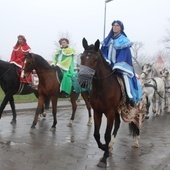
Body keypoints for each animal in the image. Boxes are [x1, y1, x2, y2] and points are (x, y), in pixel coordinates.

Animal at [78, 38, 146, 167]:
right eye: (82, 57)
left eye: (95, 59)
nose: (82, 82)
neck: (102, 87)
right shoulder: (98, 112)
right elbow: (96, 134)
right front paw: (104, 147)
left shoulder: (109, 113)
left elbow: (106, 135)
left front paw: (104, 159)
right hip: (118, 111)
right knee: (118, 124)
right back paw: (110, 145)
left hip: (137, 110)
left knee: (137, 124)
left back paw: (136, 142)